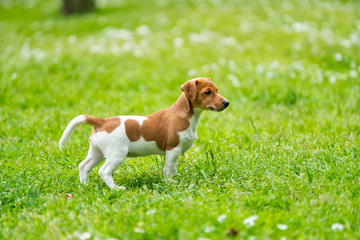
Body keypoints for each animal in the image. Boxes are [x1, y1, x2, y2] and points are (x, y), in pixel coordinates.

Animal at [58, 77, 228, 189]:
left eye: (217, 90)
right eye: (207, 92)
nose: (227, 103)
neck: (186, 115)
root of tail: (103, 122)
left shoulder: (173, 153)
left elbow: (171, 169)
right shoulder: (173, 150)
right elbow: (169, 170)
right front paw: (170, 183)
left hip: (97, 152)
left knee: (84, 166)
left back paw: (84, 186)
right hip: (117, 154)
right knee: (104, 171)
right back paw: (117, 189)